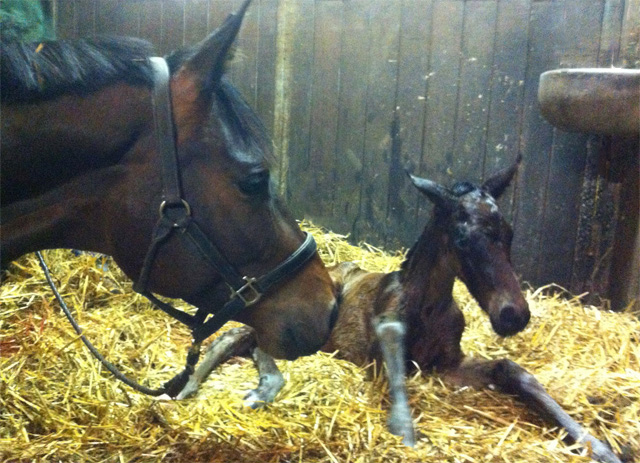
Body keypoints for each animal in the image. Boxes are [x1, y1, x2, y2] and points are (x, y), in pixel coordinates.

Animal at [178, 160, 624, 463]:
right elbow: (394, 363)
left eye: (509, 233)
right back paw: (217, 387)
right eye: (461, 239)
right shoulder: (384, 346)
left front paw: (598, 445)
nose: (513, 314)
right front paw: (406, 433)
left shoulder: (447, 365)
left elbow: (512, 370)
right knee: (244, 337)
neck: (430, 308)